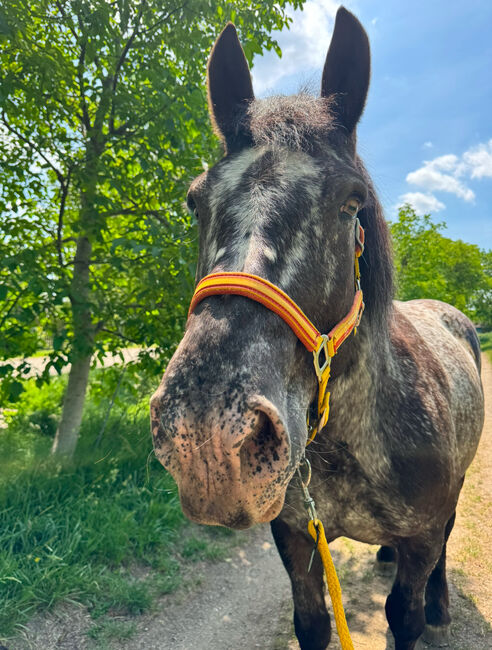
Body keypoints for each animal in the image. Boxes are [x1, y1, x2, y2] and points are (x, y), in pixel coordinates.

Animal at [150, 7, 484, 650]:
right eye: (194, 201)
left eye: (351, 202)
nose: (206, 440)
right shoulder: (295, 536)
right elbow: (311, 622)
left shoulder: (423, 538)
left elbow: (405, 613)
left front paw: (425, 607)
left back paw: (440, 603)